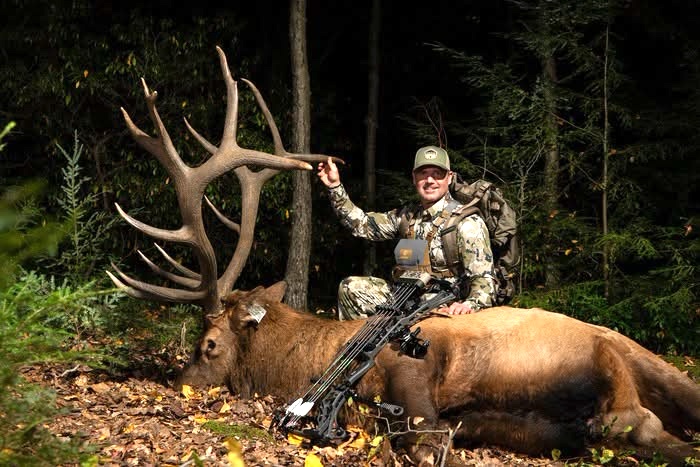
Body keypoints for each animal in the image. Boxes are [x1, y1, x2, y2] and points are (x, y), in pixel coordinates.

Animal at [109, 47, 700, 466]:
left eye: (208, 344)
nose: (176, 383)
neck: (305, 365)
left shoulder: (414, 371)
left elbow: (422, 436)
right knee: (643, 425)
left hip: (650, 366)